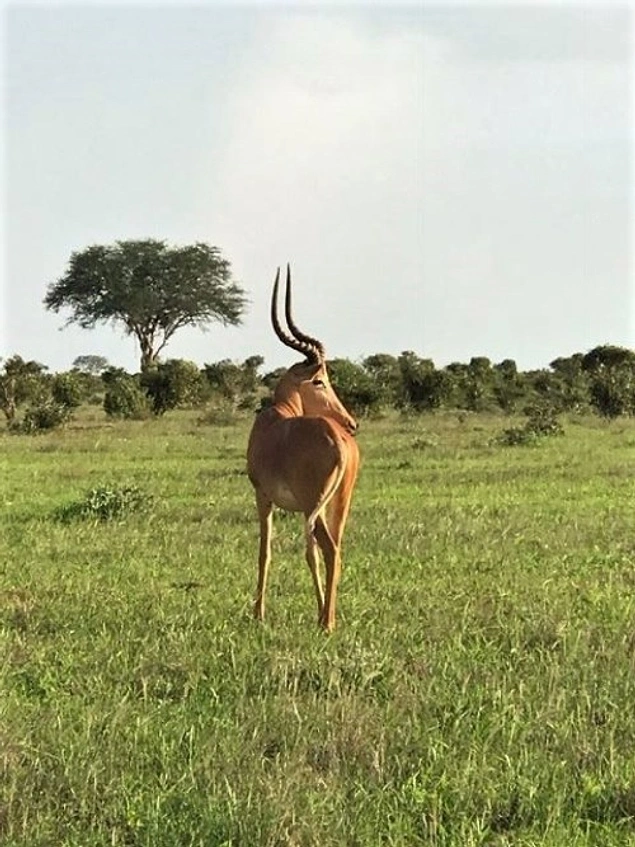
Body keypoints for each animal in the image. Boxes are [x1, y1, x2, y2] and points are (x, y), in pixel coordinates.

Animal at [247, 268, 360, 632]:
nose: (351, 422)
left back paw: (325, 621)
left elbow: (265, 551)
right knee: (335, 549)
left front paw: (258, 613)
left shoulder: (263, 497)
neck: (277, 418)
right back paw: (328, 618)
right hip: (338, 504)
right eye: (320, 380)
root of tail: (340, 442)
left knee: (324, 549)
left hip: (315, 505)